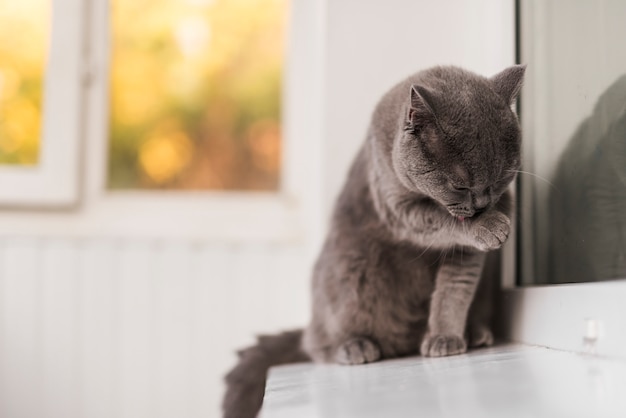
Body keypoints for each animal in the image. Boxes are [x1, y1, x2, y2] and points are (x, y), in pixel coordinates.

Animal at [222, 63, 524, 416]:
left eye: (502, 178)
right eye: (459, 185)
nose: (482, 205)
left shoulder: (466, 255)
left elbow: (454, 290)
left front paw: (444, 337)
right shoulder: (399, 208)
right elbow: (443, 220)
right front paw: (491, 225)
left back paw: (475, 333)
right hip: (349, 270)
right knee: (316, 344)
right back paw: (354, 347)